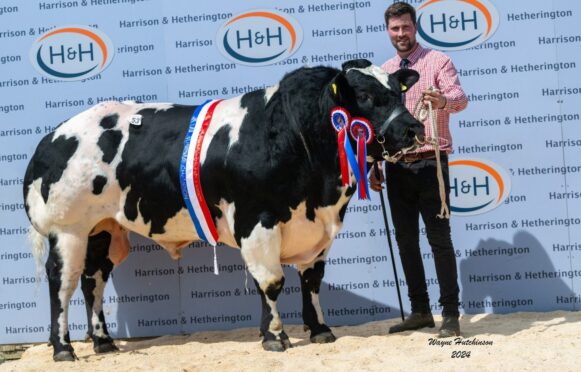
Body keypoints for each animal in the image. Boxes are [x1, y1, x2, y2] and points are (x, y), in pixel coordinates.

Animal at [23, 59, 422, 362]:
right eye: (366, 96)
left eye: (398, 91)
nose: (413, 128)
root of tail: (52, 137)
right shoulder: (256, 221)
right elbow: (271, 281)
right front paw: (274, 337)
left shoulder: (318, 230)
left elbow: (311, 280)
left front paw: (321, 331)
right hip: (68, 230)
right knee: (62, 282)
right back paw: (63, 348)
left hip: (103, 231)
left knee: (93, 280)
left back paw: (104, 342)